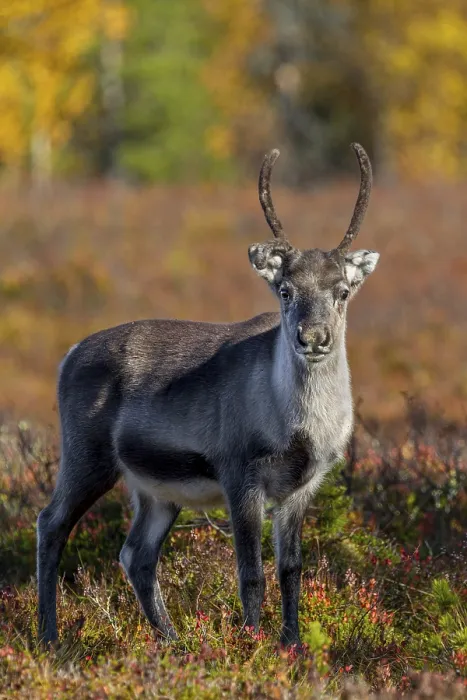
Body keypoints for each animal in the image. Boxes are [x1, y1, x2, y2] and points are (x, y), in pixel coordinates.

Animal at [37, 143, 379, 649]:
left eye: (342, 291)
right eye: (285, 289)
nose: (313, 338)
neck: (298, 427)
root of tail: (68, 355)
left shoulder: (302, 486)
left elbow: (292, 571)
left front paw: (293, 645)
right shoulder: (240, 474)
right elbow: (250, 574)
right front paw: (252, 646)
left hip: (157, 490)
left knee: (136, 554)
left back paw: (173, 641)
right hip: (87, 456)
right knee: (51, 524)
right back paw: (49, 638)